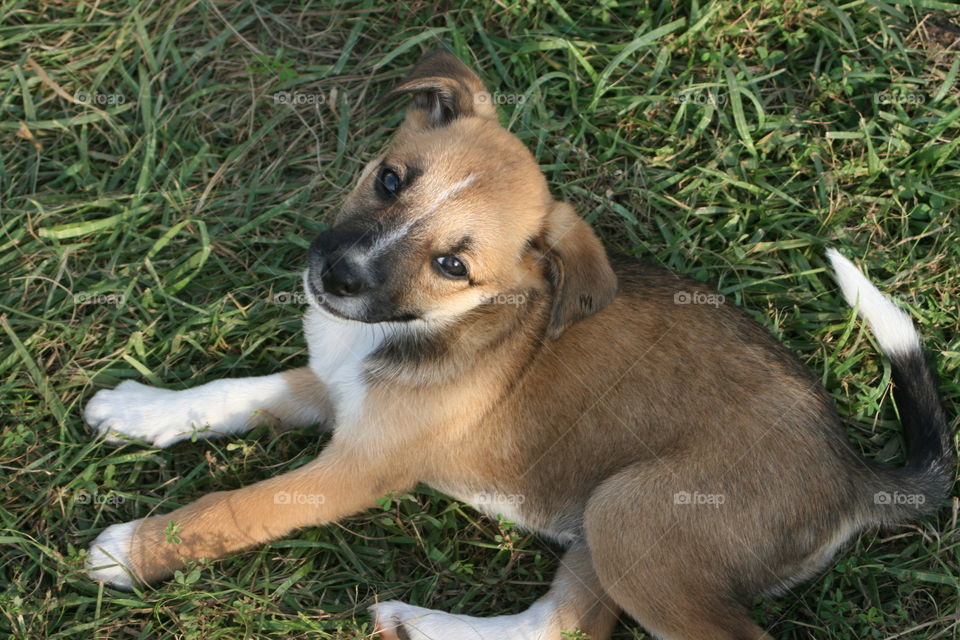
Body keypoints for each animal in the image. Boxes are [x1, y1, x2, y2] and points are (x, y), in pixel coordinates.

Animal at [86, 50, 956, 640]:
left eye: (452, 265)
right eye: (391, 179)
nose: (334, 276)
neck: (425, 326)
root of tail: (851, 476)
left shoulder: (357, 469)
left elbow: (233, 509)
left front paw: (134, 551)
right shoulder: (339, 387)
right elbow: (235, 392)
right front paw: (140, 411)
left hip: (635, 513)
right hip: (615, 520)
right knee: (563, 622)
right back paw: (417, 622)